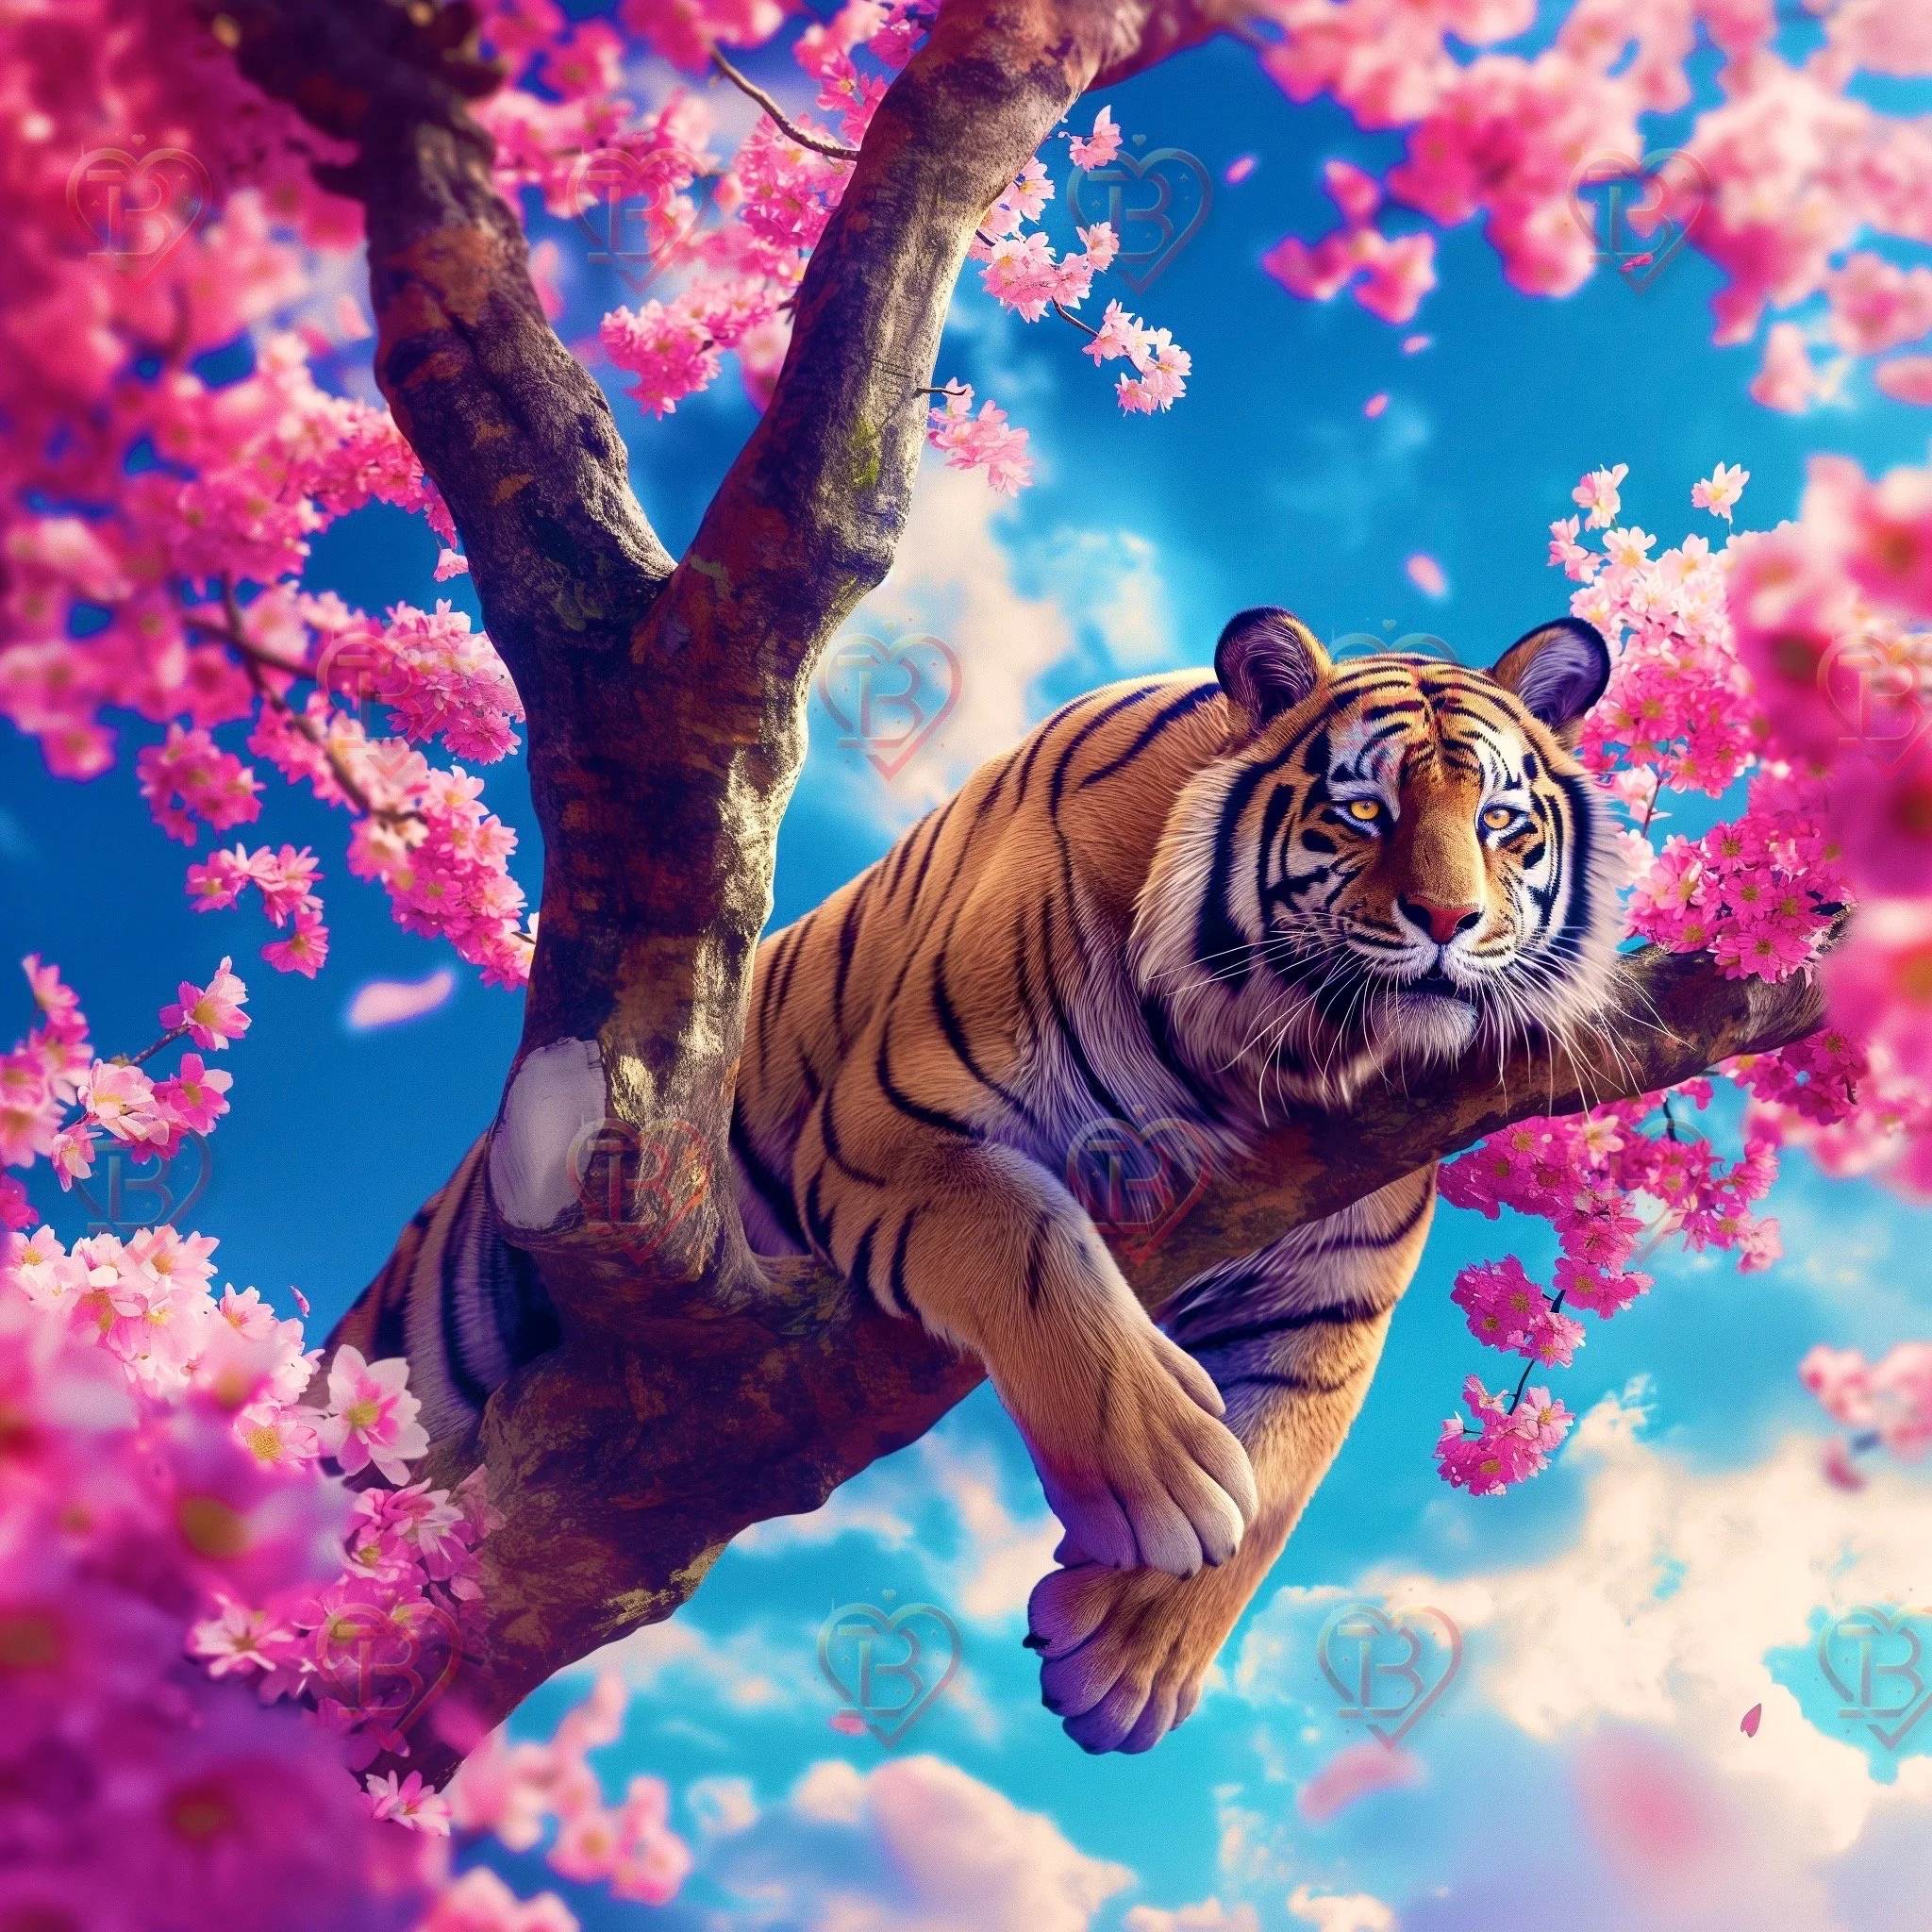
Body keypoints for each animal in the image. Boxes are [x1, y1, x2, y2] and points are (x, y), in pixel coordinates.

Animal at [331, 605, 1618, 1756]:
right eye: (1361, 810)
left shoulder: (1336, 1290)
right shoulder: (892, 1122)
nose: (1449, 917)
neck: (1285, 1059)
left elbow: (1283, 1474)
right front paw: (1166, 1472)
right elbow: (1031, 1241)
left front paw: (1132, 1651)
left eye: (1502, 822)